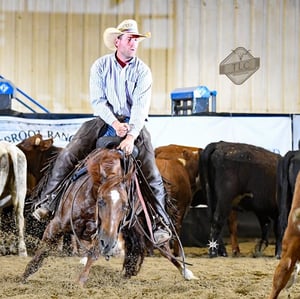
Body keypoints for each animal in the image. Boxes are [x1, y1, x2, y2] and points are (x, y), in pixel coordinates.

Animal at [21, 146, 197, 288]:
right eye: (101, 201)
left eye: (125, 205)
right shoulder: (56, 224)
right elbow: (42, 251)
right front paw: (22, 277)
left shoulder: (104, 234)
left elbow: (93, 254)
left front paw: (80, 282)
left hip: (143, 224)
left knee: (163, 249)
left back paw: (186, 272)